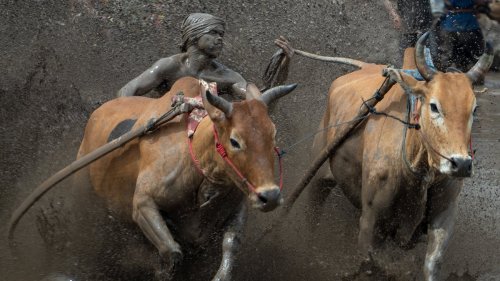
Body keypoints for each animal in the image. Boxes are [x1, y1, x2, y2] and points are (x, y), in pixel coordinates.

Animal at [308, 33, 492, 280]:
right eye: (434, 106)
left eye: (474, 109)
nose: (461, 164)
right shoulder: (370, 221)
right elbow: (370, 264)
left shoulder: (444, 213)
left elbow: (432, 263)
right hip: (318, 176)